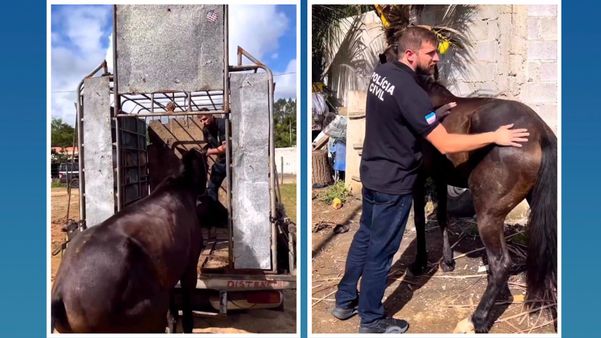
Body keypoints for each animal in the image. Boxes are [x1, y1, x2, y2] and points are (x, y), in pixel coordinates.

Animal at [51, 149, 210, 332]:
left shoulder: (169, 274)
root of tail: (61, 293)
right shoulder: (189, 268)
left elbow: (173, 314)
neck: (179, 185)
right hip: (151, 314)